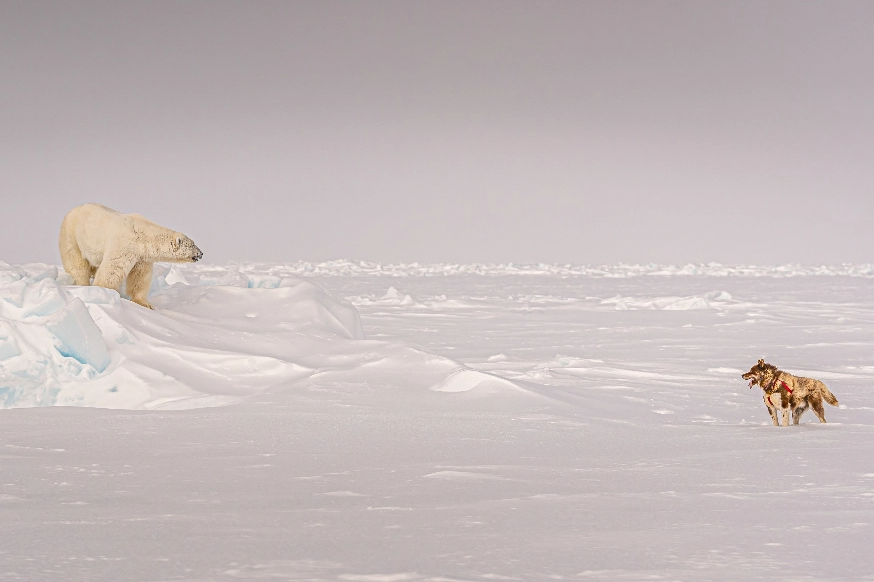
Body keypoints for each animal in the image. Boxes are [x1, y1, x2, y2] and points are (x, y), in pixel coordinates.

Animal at [59, 203, 202, 309]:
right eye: (192, 245)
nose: (201, 254)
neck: (143, 235)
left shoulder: (142, 255)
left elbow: (140, 276)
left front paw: (145, 303)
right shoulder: (124, 245)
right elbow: (112, 270)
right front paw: (105, 291)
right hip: (71, 238)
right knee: (77, 265)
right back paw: (82, 284)